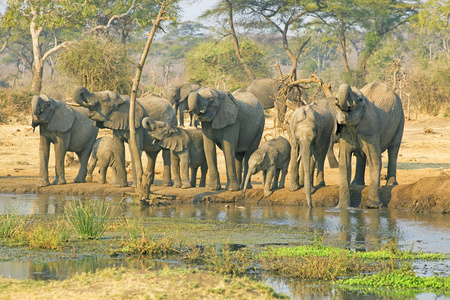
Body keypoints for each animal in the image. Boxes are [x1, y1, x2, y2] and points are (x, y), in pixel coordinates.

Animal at [334, 81, 404, 209]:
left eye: (360, 100)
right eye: (335, 98)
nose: (337, 100)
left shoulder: (371, 128)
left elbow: (374, 160)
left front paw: (374, 207)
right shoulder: (344, 132)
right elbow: (344, 163)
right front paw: (342, 208)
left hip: (401, 120)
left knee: (393, 151)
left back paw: (391, 184)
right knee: (360, 156)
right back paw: (357, 184)